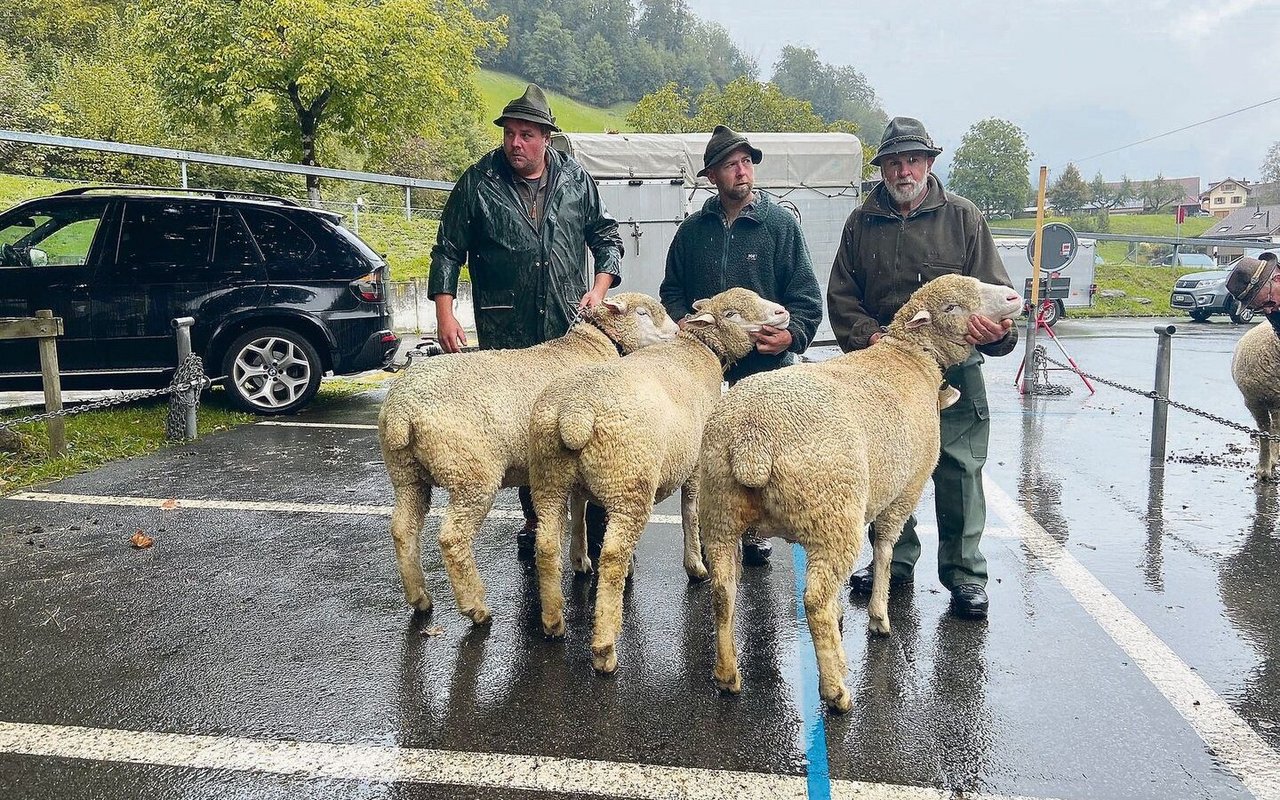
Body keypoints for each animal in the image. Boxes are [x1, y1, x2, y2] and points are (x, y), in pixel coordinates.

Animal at [378, 293, 680, 624]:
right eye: (643, 313)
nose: (678, 332)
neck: (598, 344)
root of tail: (402, 410)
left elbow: (577, 509)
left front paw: (580, 559)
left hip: (407, 474)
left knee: (402, 529)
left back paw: (419, 598)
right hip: (469, 472)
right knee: (452, 538)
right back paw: (476, 607)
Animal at [529, 284, 788, 670]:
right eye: (731, 314)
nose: (782, 313)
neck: (700, 350)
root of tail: (575, 413)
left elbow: (581, 515)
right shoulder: (695, 463)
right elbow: (689, 512)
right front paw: (696, 565)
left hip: (553, 478)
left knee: (546, 544)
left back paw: (553, 622)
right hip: (629, 481)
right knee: (612, 555)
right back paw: (605, 648)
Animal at [701, 271, 1018, 706]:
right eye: (952, 307)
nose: (1014, 297)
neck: (912, 360)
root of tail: (751, 437)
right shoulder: (904, 490)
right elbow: (884, 549)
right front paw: (879, 616)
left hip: (726, 513)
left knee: (723, 591)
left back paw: (727, 675)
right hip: (832, 510)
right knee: (814, 600)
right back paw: (836, 689)